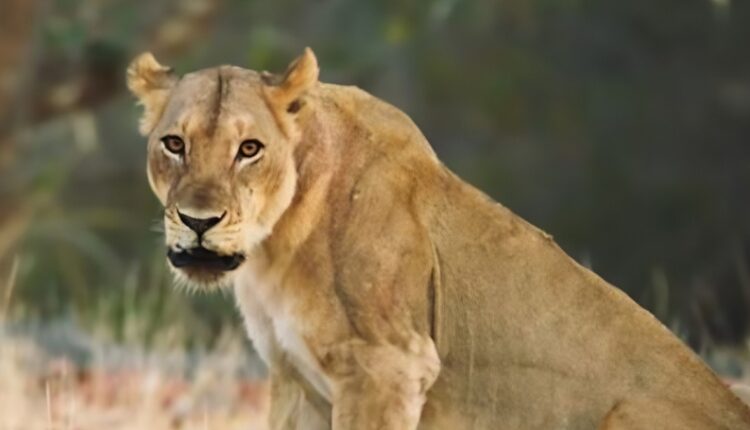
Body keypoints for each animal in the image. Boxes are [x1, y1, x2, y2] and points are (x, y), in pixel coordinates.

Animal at [127, 48, 750, 429]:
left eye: (249, 149)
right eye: (175, 144)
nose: (199, 221)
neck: (275, 245)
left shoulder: (388, 365)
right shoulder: (294, 380)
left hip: (626, 411)